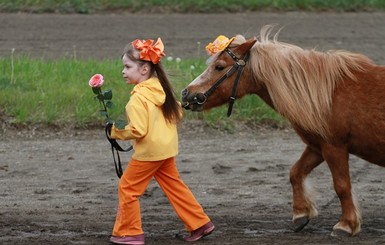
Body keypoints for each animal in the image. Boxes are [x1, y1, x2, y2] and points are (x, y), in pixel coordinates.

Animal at [179, 24, 384, 235]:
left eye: (219, 66)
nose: (186, 93)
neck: (327, 95)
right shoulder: (317, 147)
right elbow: (295, 173)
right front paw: (301, 213)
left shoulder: (334, 147)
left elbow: (342, 186)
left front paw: (346, 224)